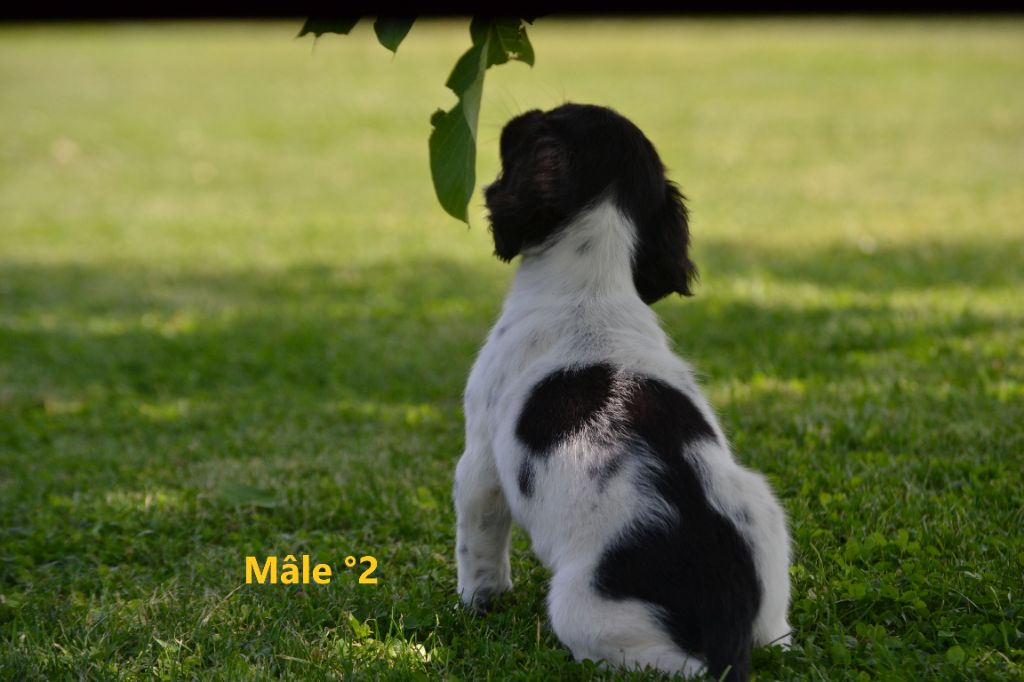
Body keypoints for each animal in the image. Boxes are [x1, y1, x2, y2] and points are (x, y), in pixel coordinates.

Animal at [453, 103, 791, 681]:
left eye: (550, 117)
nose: (519, 114)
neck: (590, 287)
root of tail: (724, 586)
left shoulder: (480, 461)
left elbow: (478, 546)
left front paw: (476, 602)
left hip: (587, 613)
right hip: (769, 533)